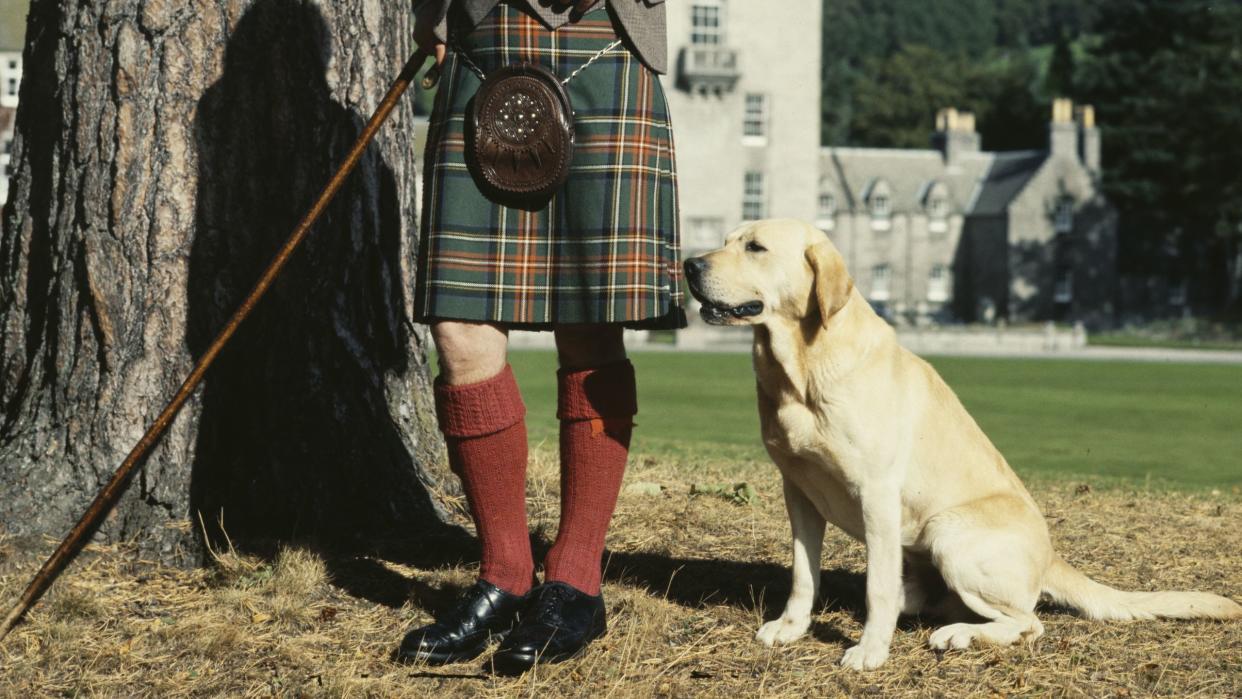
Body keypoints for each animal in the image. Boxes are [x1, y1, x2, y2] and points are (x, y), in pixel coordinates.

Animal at [685, 219, 1237, 670]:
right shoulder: (797, 491)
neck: (800, 368)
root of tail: (1050, 556)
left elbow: (876, 587)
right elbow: (804, 573)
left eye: (755, 247)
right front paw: (792, 628)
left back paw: (958, 635)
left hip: (949, 534)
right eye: (727, 240)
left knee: (1027, 621)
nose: (689, 264)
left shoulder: (877, 493)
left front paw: (870, 650)